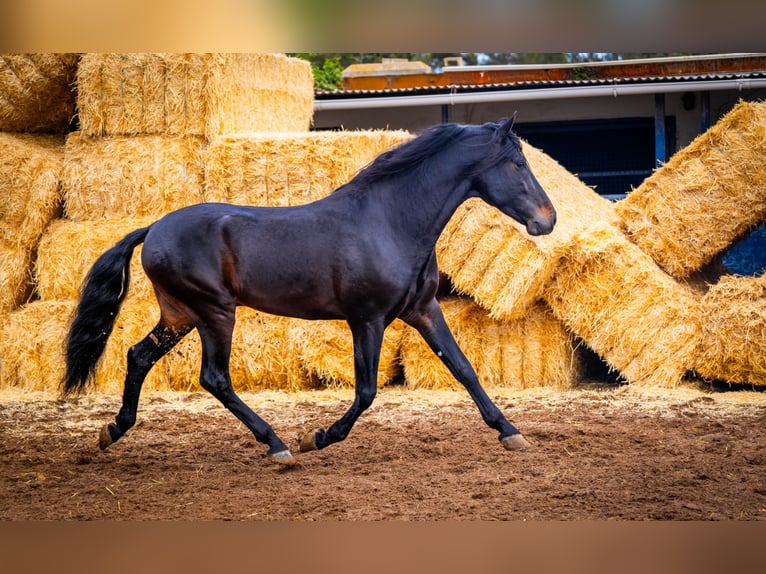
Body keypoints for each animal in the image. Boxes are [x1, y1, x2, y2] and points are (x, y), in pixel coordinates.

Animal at [64, 117, 560, 468]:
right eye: (518, 165)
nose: (548, 219)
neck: (390, 222)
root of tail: (153, 229)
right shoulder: (367, 319)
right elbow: (366, 391)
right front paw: (316, 438)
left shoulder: (422, 310)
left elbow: (464, 370)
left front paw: (510, 432)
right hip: (214, 313)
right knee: (214, 378)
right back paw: (277, 444)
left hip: (180, 314)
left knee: (138, 356)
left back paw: (112, 431)